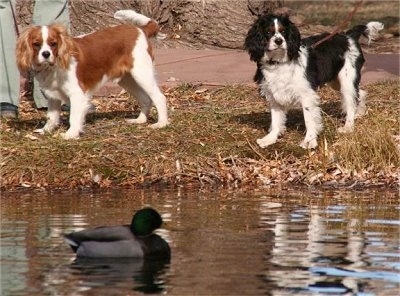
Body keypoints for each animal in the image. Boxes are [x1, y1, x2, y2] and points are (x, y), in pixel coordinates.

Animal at [16, 9, 167, 139]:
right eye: (36, 44)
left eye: (53, 44)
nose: (46, 54)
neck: (54, 66)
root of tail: (140, 30)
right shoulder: (53, 95)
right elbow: (51, 116)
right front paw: (46, 130)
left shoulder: (77, 94)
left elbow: (73, 117)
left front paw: (70, 134)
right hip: (127, 79)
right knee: (145, 99)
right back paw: (140, 120)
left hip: (142, 74)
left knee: (159, 97)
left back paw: (162, 123)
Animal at [245, 14, 382, 149]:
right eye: (268, 32)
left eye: (283, 31)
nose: (279, 41)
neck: (278, 62)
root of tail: (348, 36)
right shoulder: (273, 94)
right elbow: (276, 120)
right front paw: (270, 139)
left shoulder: (306, 95)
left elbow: (309, 119)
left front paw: (309, 141)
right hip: (336, 82)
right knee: (360, 93)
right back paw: (358, 113)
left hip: (346, 81)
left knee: (351, 101)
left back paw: (348, 127)